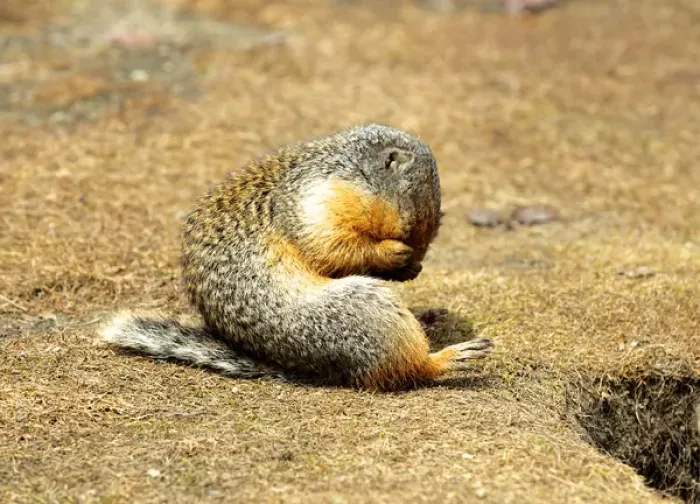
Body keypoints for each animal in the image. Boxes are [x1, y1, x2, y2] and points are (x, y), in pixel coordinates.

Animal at [99, 124, 493, 391]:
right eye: (408, 223)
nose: (414, 260)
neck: (348, 168)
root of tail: (305, 368)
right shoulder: (321, 201)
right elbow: (328, 247)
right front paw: (395, 252)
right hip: (366, 311)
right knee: (406, 370)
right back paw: (449, 356)